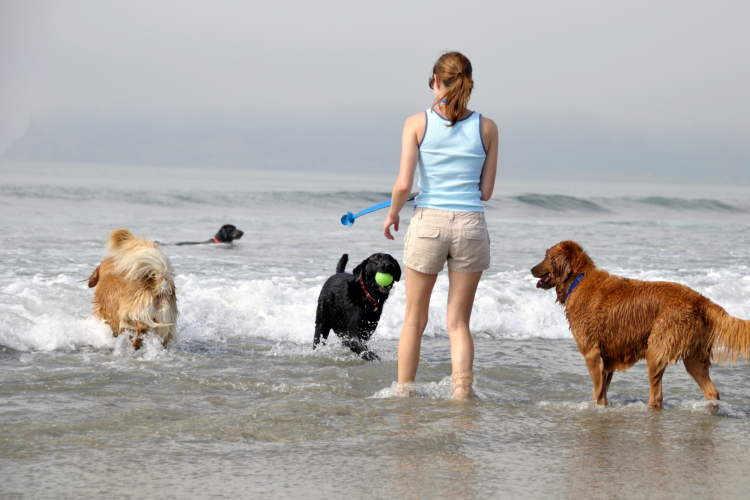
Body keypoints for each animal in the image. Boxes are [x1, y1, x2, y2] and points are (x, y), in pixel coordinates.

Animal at [532, 240, 748, 408]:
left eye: (546, 256)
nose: (531, 269)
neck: (578, 280)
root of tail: (701, 300)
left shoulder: (592, 354)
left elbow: (598, 392)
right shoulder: (607, 359)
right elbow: (602, 392)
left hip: (657, 349)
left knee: (657, 396)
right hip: (694, 357)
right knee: (712, 392)